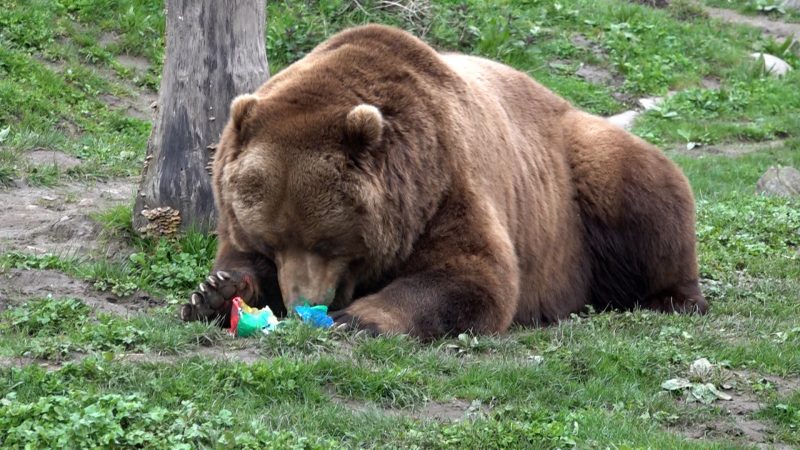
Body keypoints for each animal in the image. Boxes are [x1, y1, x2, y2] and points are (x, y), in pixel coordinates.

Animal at [180, 23, 708, 338]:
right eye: (273, 239)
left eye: (327, 242)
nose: (303, 303)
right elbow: (237, 258)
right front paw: (214, 292)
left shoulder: (442, 183)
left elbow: (472, 275)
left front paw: (360, 317)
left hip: (580, 179)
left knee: (640, 192)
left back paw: (672, 298)